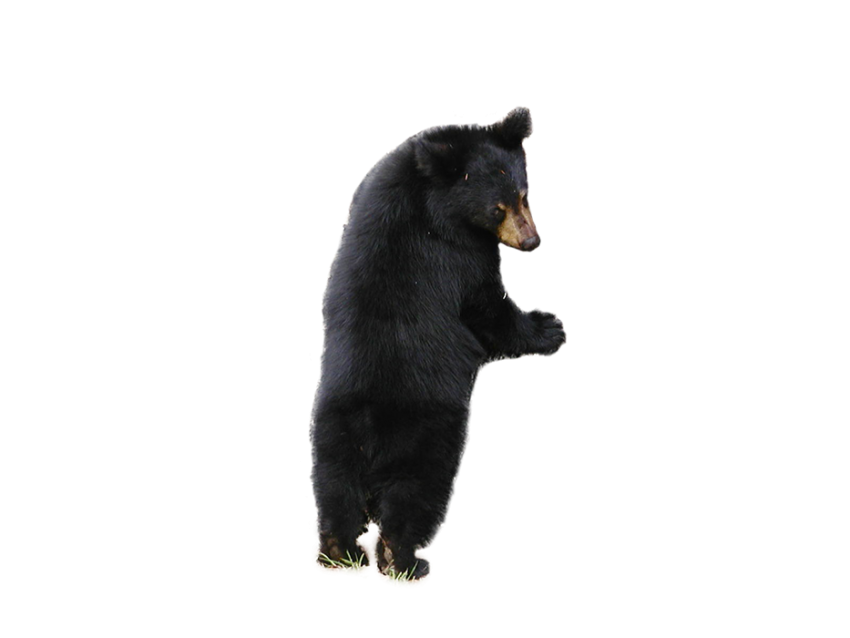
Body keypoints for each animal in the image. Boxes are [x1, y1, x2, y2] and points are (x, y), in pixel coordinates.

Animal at [309, 105, 567, 580]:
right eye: (497, 208)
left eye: (525, 194)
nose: (532, 242)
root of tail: (372, 434)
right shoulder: (458, 251)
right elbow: (490, 307)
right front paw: (549, 326)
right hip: (432, 435)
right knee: (416, 497)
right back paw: (408, 562)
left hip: (329, 433)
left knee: (335, 491)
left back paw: (338, 551)